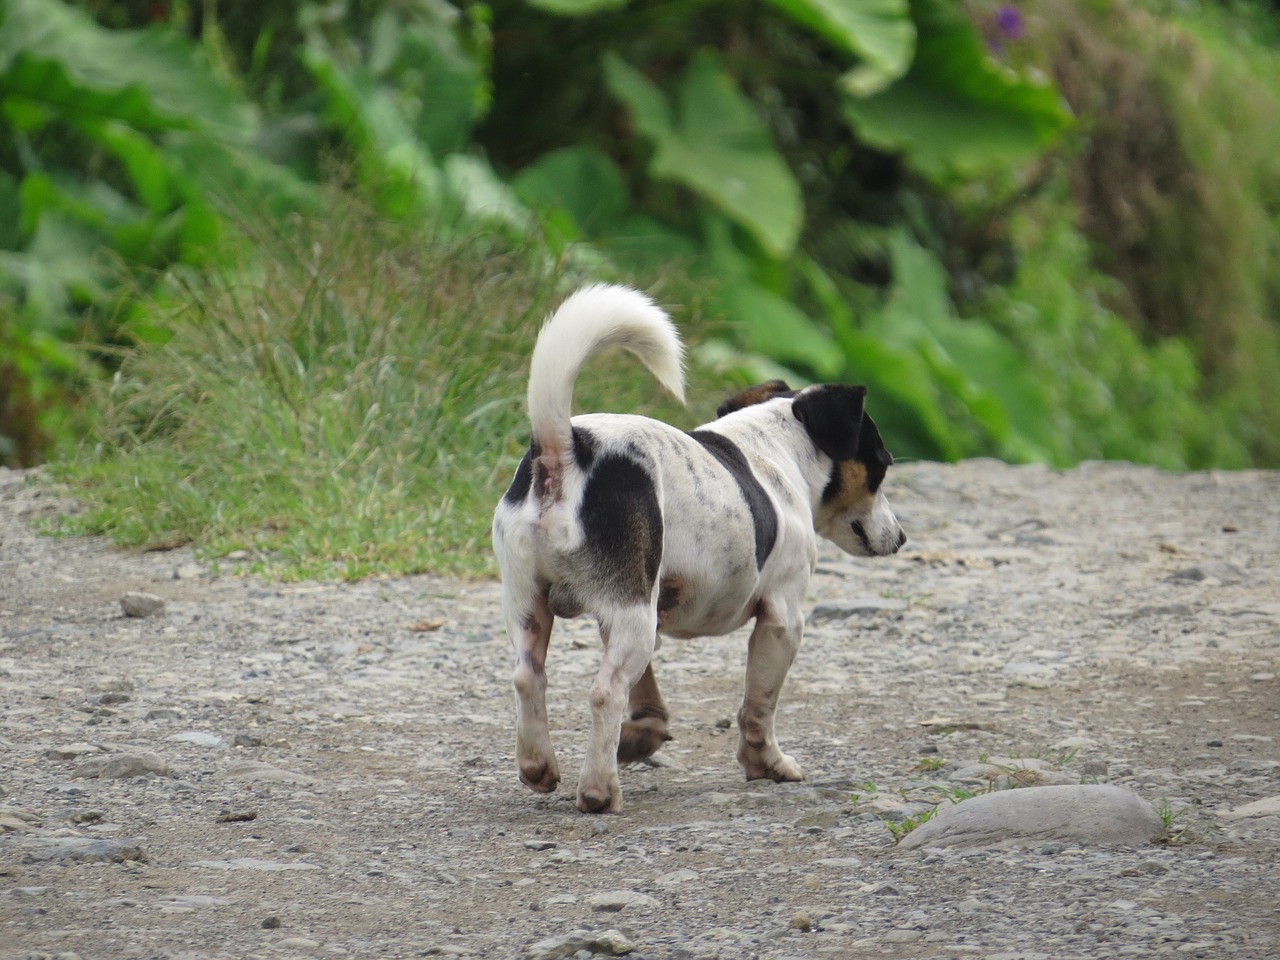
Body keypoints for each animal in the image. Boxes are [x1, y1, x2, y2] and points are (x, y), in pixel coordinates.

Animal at [486, 285, 901, 814]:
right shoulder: (782, 620)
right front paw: (768, 764)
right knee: (604, 692)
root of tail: (565, 450)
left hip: (538, 604)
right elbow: (758, 707)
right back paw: (599, 790)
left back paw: (539, 767)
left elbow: (649, 700)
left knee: (528, 678)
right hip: (631, 616)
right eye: (882, 465)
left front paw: (643, 736)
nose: (901, 536)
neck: (773, 448)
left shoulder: (640, 613)